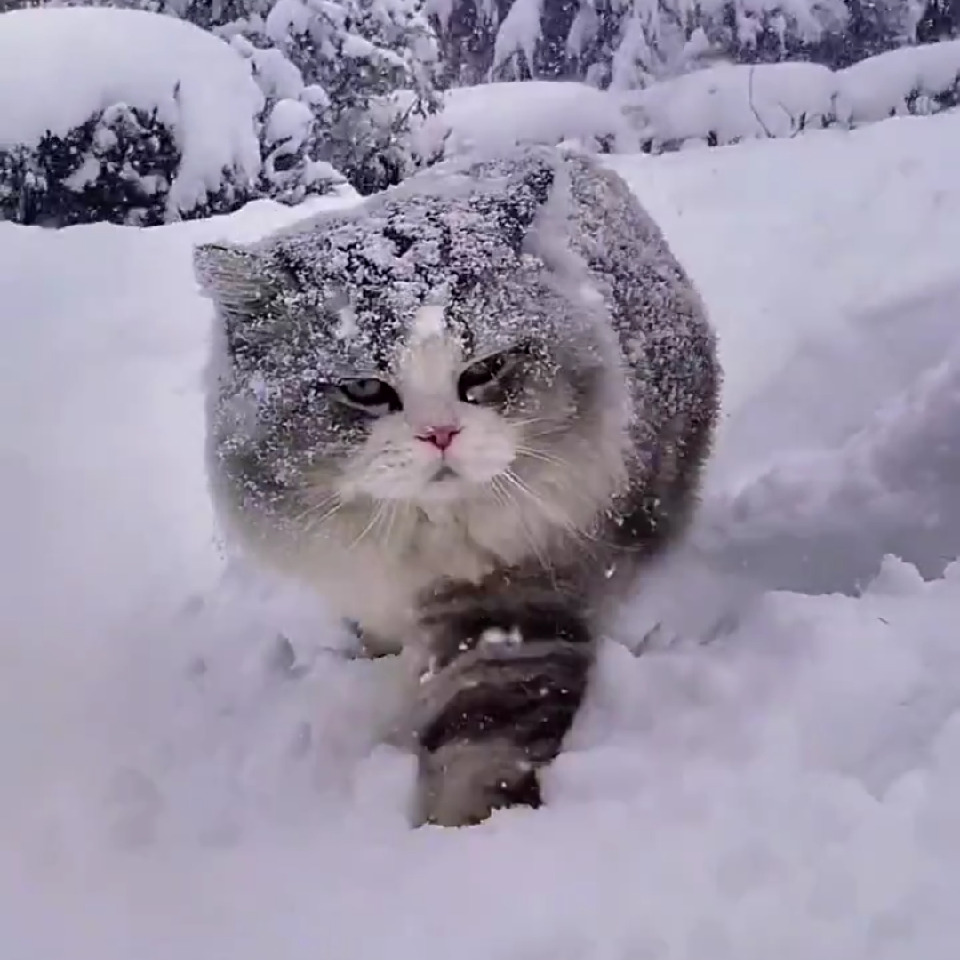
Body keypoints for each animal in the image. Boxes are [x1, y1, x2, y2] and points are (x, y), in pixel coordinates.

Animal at [193, 146, 720, 828]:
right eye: (364, 389)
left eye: (485, 370)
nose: (440, 434)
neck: (416, 543)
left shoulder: (513, 607)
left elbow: (479, 753)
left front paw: (461, 839)